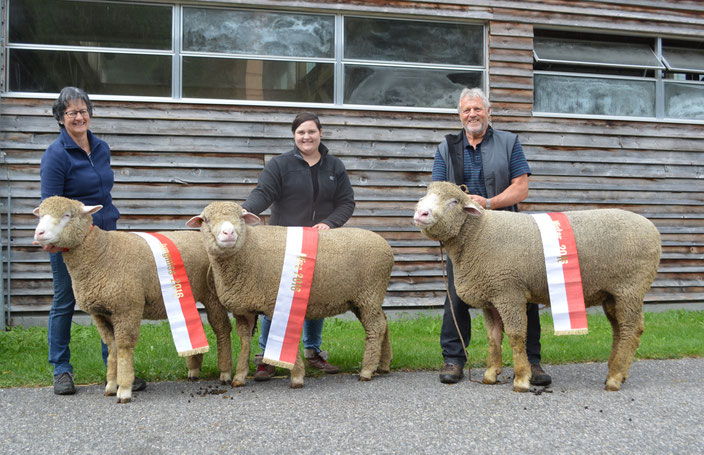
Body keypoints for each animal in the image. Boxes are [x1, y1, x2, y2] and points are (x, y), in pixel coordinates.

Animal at [34, 196, 245, 402]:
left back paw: (225, 372)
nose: (39, 234)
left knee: (222, 329)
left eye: (67, 215)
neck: (102, 252)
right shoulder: (100, 313)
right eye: (41, 215)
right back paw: (193, 370)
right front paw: (111, 385)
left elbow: (124, 347)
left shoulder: (127, 307)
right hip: (190, 296)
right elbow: (112, 348)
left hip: (213, 296)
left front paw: (124, 389)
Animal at [187, 201, 396, 390]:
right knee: (384, 322)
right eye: (206, 220)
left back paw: (367, 370)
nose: (229, 234)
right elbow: (245, 341)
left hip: (370, 293)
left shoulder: (276, 304)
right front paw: (239, 376)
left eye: (240, 217)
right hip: (363, 298)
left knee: (375, 327)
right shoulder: (243, 310)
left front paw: (296, 376)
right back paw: (384, 364)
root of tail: (385, 245)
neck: (248, 250)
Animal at [412, 182, 660, 392]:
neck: (478, 235)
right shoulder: (491, 296)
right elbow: (493, 337)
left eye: (454, 201)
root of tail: (652, 229)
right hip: (612, 293)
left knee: (631, 329)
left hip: (630, 288)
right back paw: (615, 371)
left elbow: (515, 336)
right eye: (426, 194)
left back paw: (615, 378)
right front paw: (491, 374)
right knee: (620, 329)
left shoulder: (509, 293)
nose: (420, 213)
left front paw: (522, 379)